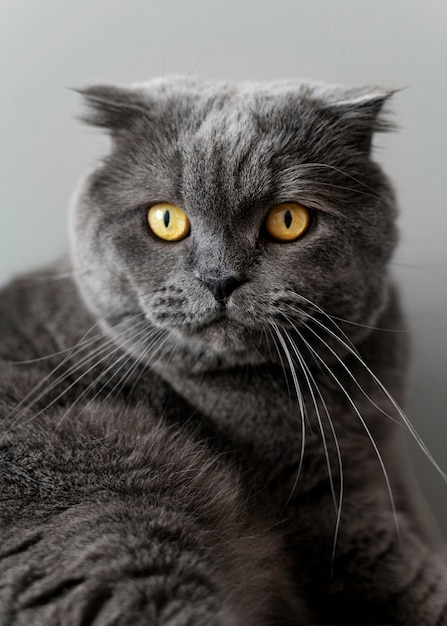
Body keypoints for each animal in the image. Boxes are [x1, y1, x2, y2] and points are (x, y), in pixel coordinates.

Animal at [0, 74, 447, 624]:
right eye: (165, 219)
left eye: (289, 219)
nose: (219, 279)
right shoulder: (329, 508)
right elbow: (413, 581)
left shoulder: (385, 468)